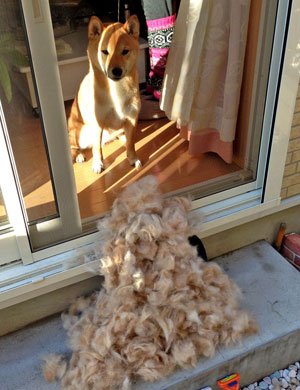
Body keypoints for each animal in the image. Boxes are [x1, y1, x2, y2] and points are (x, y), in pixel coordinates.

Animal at [68, 15, 142, 173]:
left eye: (125, 51)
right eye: (104, 52)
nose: (116, 71)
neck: (115, 90)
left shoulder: (131, 118)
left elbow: (131, 144)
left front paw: (132, 158)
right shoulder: (97, 123)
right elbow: (97, 149)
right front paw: (97, 163)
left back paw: (123, 138)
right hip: (81, 133)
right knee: (74, 146)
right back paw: (78, 155)